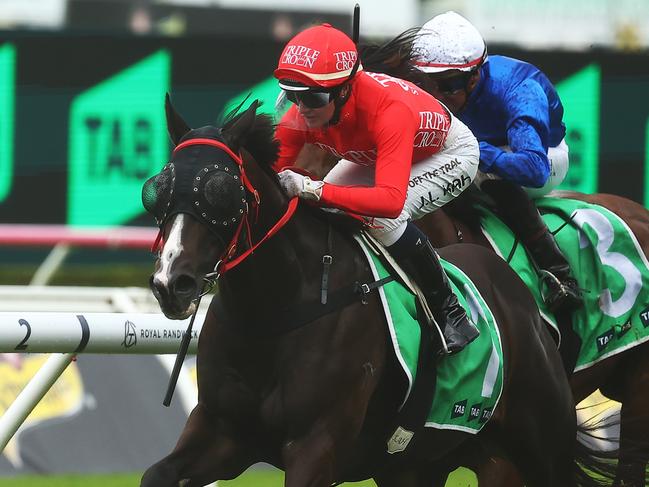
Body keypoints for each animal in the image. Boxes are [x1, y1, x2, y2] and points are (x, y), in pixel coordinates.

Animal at [139, 99, 612, 487]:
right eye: (159, 189)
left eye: (220, 190)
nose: (171, 283)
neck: (275, 311)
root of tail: (517, 290)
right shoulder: (223, 431)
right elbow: (155, 474)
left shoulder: (316, 445)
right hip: (427, 461)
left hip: (539, 441)